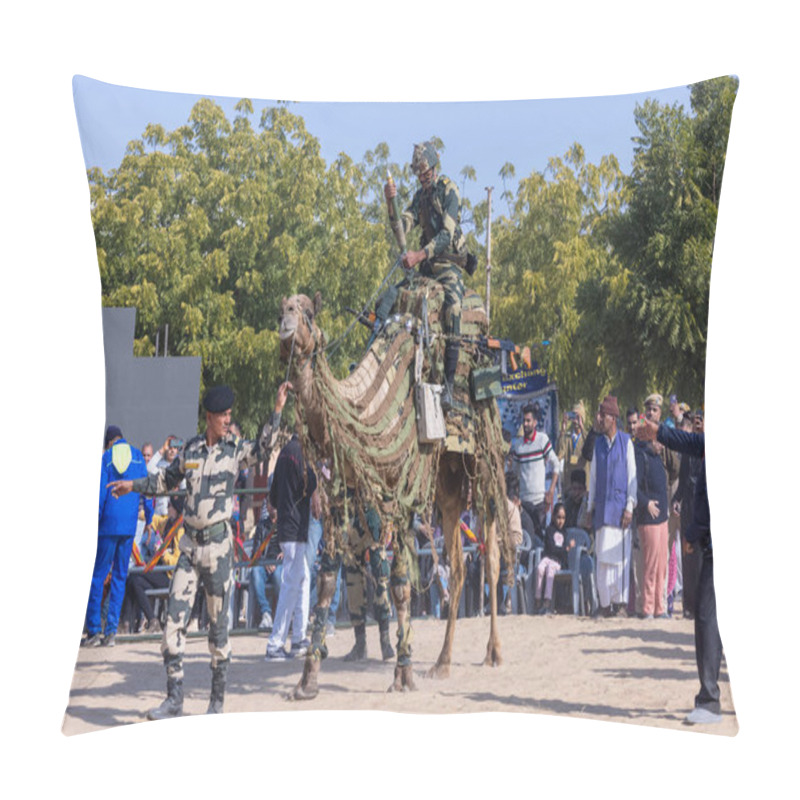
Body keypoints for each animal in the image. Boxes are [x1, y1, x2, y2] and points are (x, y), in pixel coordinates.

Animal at [278, 276, 516, 700]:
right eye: (282, 308)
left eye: (307, 311)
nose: (285, 322)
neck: (367, 409)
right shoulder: (344, 493)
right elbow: (327, 580)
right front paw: (307, 681)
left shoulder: (400, 495)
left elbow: (402, 584)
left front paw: (403, 674)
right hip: (447, 486)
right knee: (458, 567)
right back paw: (442, 663)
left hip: (485, 466)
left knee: (490, 558)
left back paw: (493, 653)